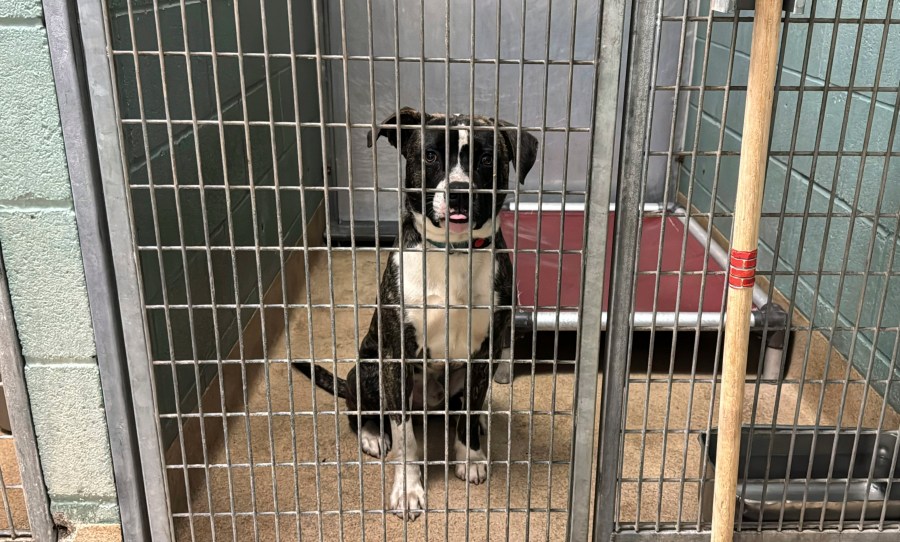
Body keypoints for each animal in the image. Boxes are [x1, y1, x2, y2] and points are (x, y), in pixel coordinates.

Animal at [294, 108, 536, 520]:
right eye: (430, 156)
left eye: (487, 159)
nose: (459, 193)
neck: (452, 252)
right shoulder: (397, 357)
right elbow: (406, 438)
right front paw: (407, 490)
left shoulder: (483, 353)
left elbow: (470, 410)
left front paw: (469, 456)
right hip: (367, 367)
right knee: (360, 409)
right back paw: (374, 434)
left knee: (461, 409)